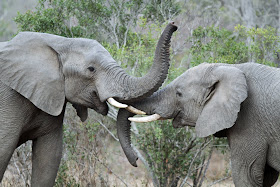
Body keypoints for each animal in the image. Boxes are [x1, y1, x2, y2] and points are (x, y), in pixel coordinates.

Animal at [0, 23, 177, 186]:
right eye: (91, 69)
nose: (136, 160)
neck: (60, 43)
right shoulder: (9, 99)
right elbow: (4, 149)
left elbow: (49, 157)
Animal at [117, 62, 280, 186]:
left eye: (179, 94)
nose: (136, 160)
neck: (230, 67)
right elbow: (266, 178)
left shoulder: (250, 123)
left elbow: (248, 176)